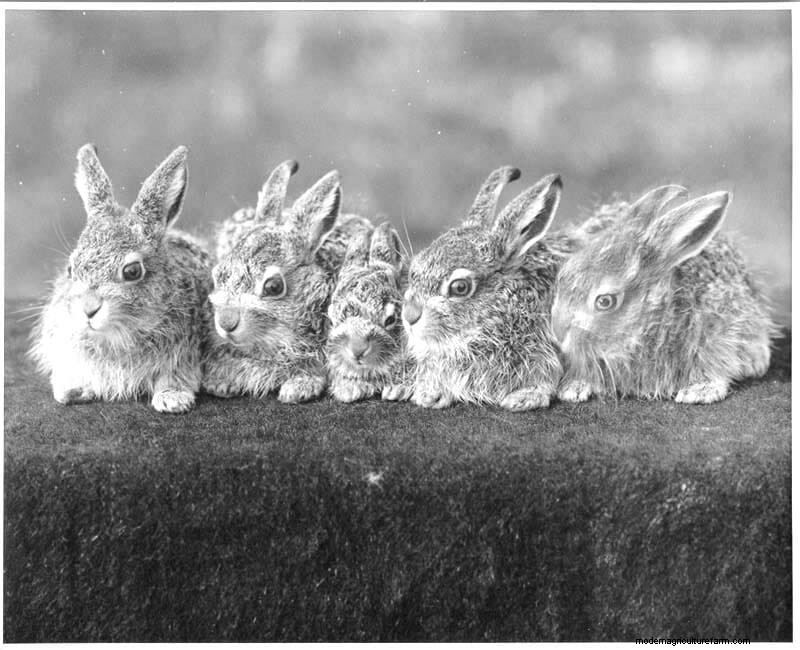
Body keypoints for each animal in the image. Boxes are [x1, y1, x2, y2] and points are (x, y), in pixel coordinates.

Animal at [30, 144, 213, 413]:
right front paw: (72, 390)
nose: (88, 309)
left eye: (132, 271)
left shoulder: (184, 356)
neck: (116, 334)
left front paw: (172, 399)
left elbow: (175, 377)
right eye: (71, 269)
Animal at [551, 185, 776, 404]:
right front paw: (574, 387)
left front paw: (700, 391)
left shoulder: (719, 329)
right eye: (562, 276)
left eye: (605, 301)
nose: (558, 332)